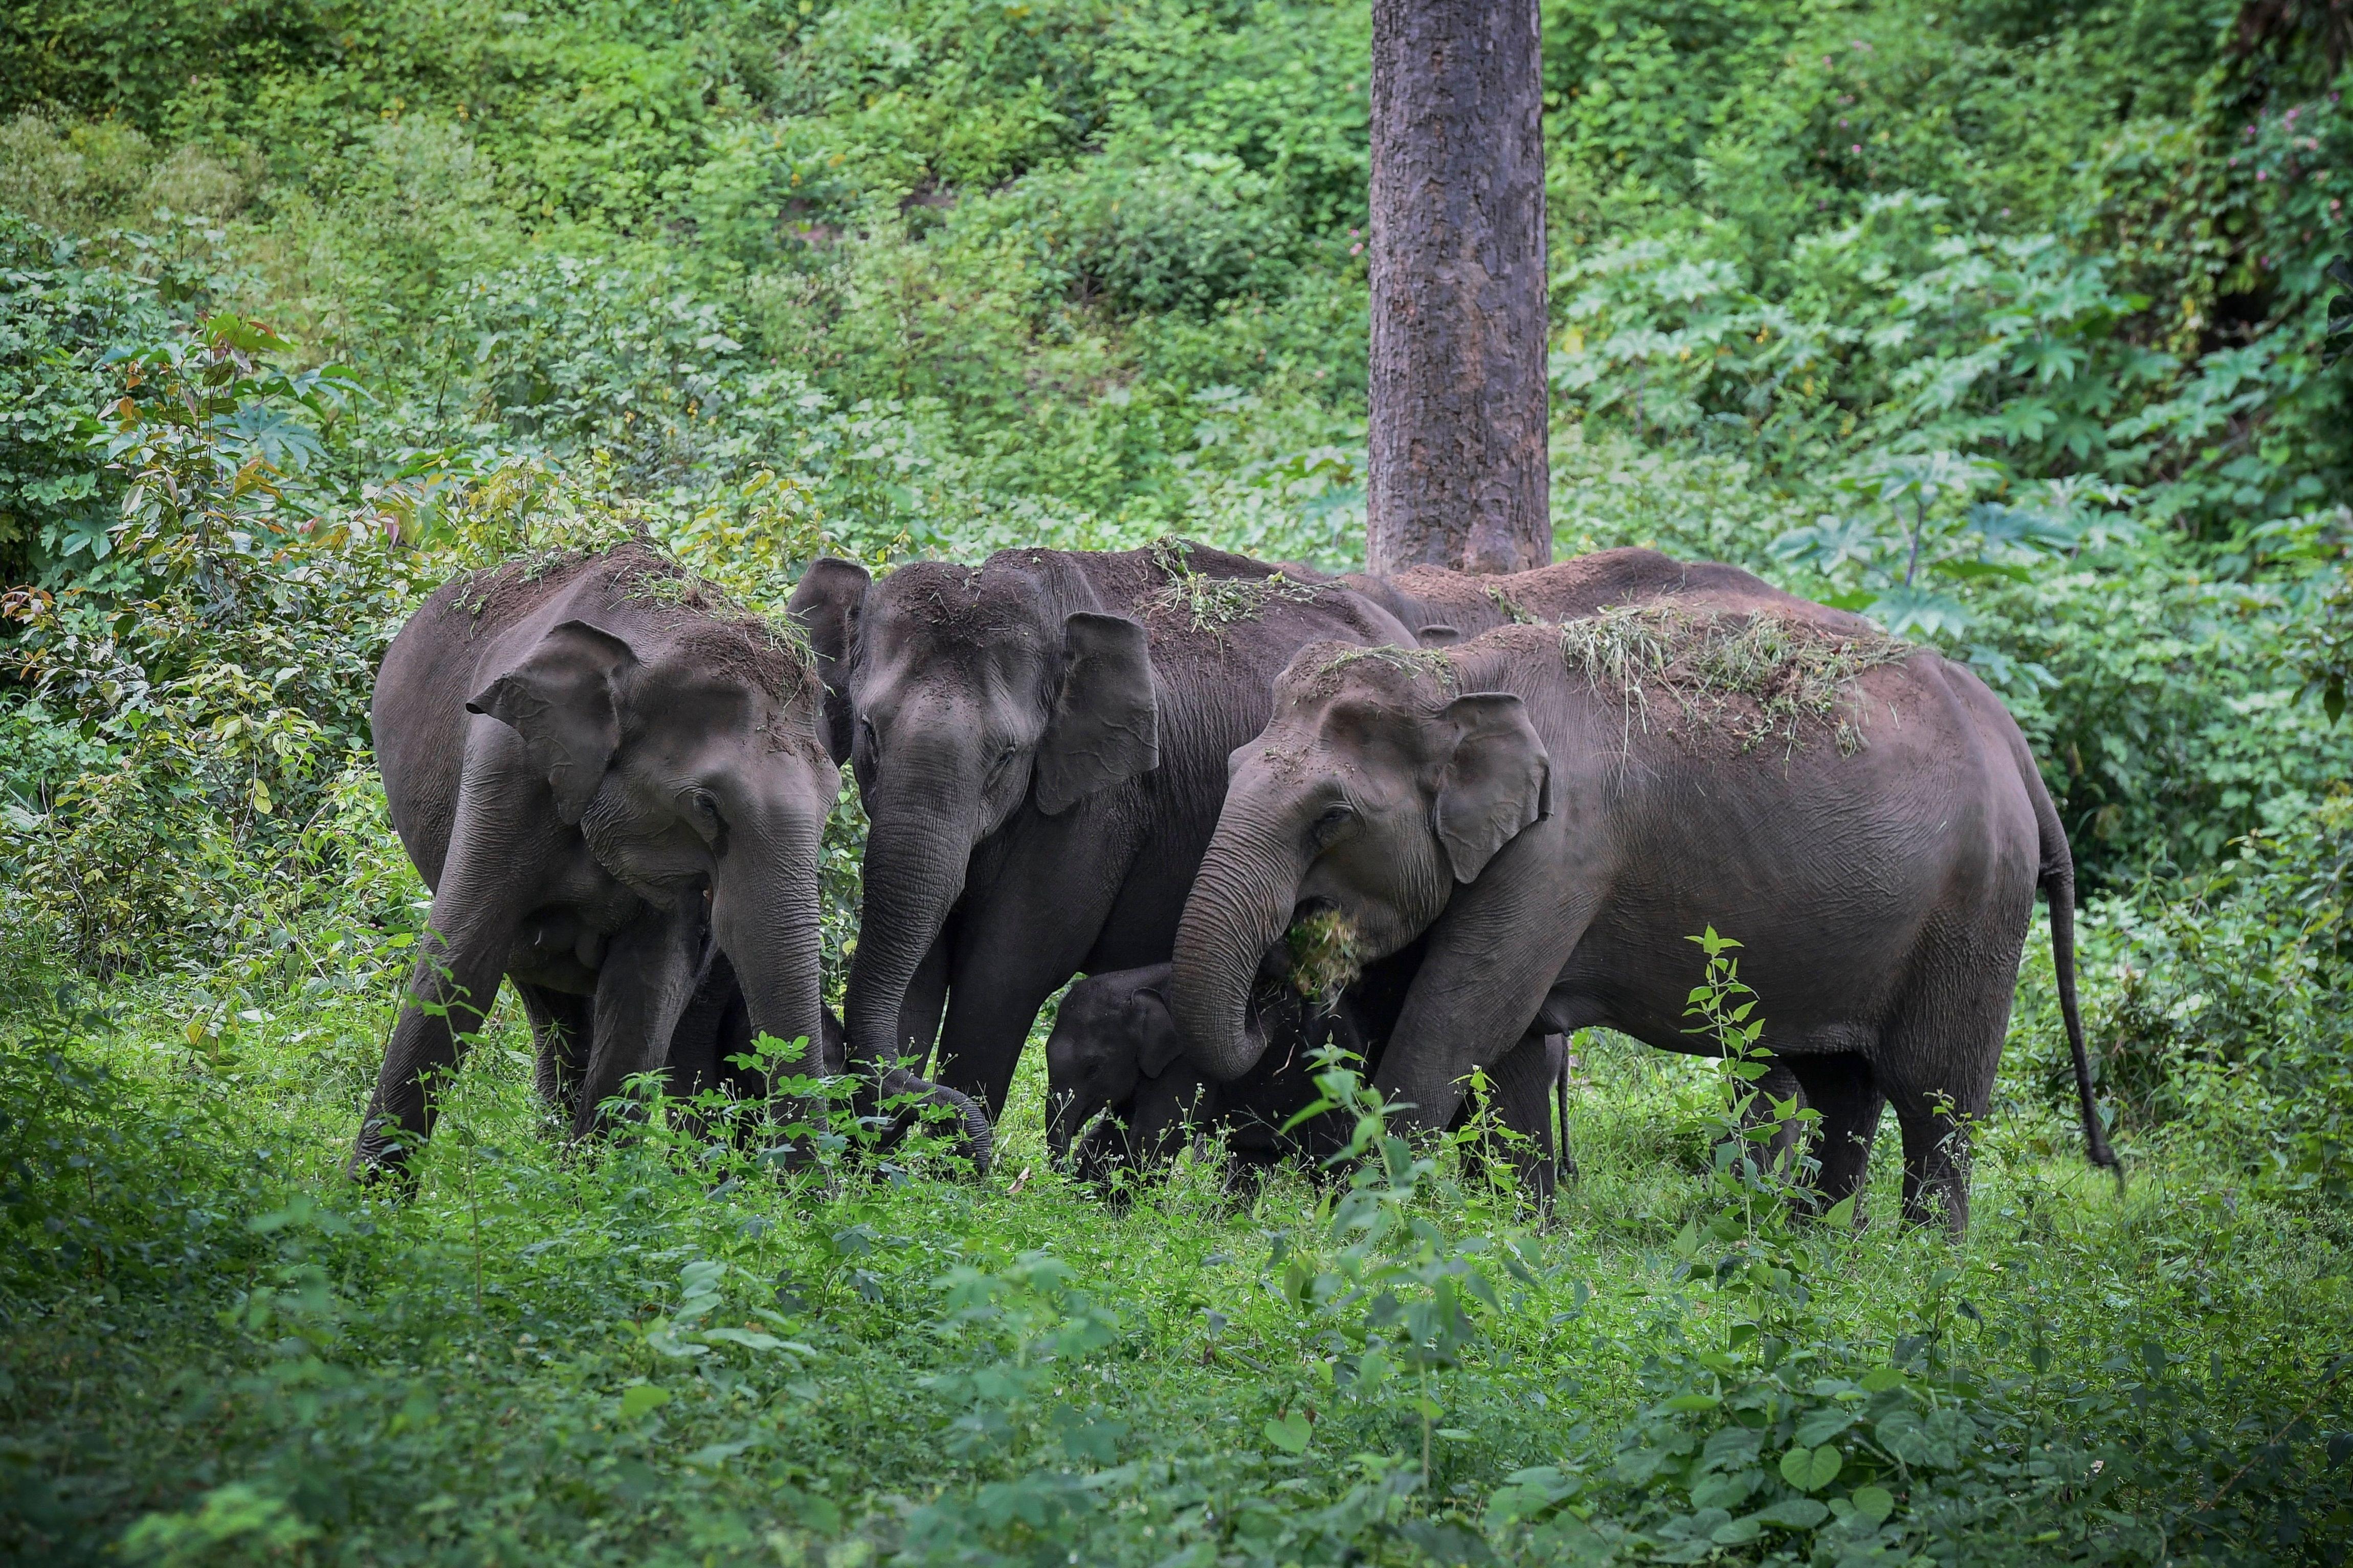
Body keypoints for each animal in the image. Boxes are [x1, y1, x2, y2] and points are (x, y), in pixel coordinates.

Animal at [347, 542, 955, 1184]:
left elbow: (646, 987)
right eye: (706, 806)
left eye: (830, 804)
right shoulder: (506, 769)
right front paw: (370, 1197)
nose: (814, 1197)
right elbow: (458, 959)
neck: (656, 636)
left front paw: (594, 1193)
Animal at [785, 541, 1415, 1137]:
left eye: (1006, 756)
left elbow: (1002, 981)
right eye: (869, 730)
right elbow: (918, 974)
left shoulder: (1093, 809)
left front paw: (952, 1166)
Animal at [1044, 956, 1570, 1200]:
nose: (1058, 1173)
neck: (1136, 982)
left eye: (1093, 1066)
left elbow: (1151, 1139)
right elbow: (1118, 1134)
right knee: (1253, 1162)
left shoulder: (1187, 1066)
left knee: (1336, 1167)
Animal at [1167, 601, 2118, 1233]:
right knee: (1843, 1087)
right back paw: (1811, 1252)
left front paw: (1363, 1229)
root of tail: (2018, 748)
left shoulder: (1560, 851)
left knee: (1936, 1099)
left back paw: (1920, 1264)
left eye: (1331, 817)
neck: (1459, 676)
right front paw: (1524, 1235)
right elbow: (1513, 1056)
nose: (1280, 988)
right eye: (1233, 765)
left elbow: (1457, 1023)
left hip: (1972, 909)